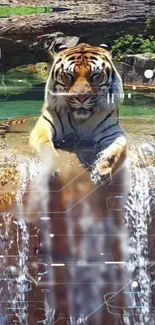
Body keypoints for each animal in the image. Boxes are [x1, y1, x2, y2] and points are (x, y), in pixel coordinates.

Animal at [29, 42, 127, 184]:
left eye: (95, 75)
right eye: (69, 75)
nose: (81, 97)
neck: (80, 119)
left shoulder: (113, 132)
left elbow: (117, 148)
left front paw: (102, 169)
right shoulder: (43, 126)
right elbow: (45, 144)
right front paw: (51, 169)